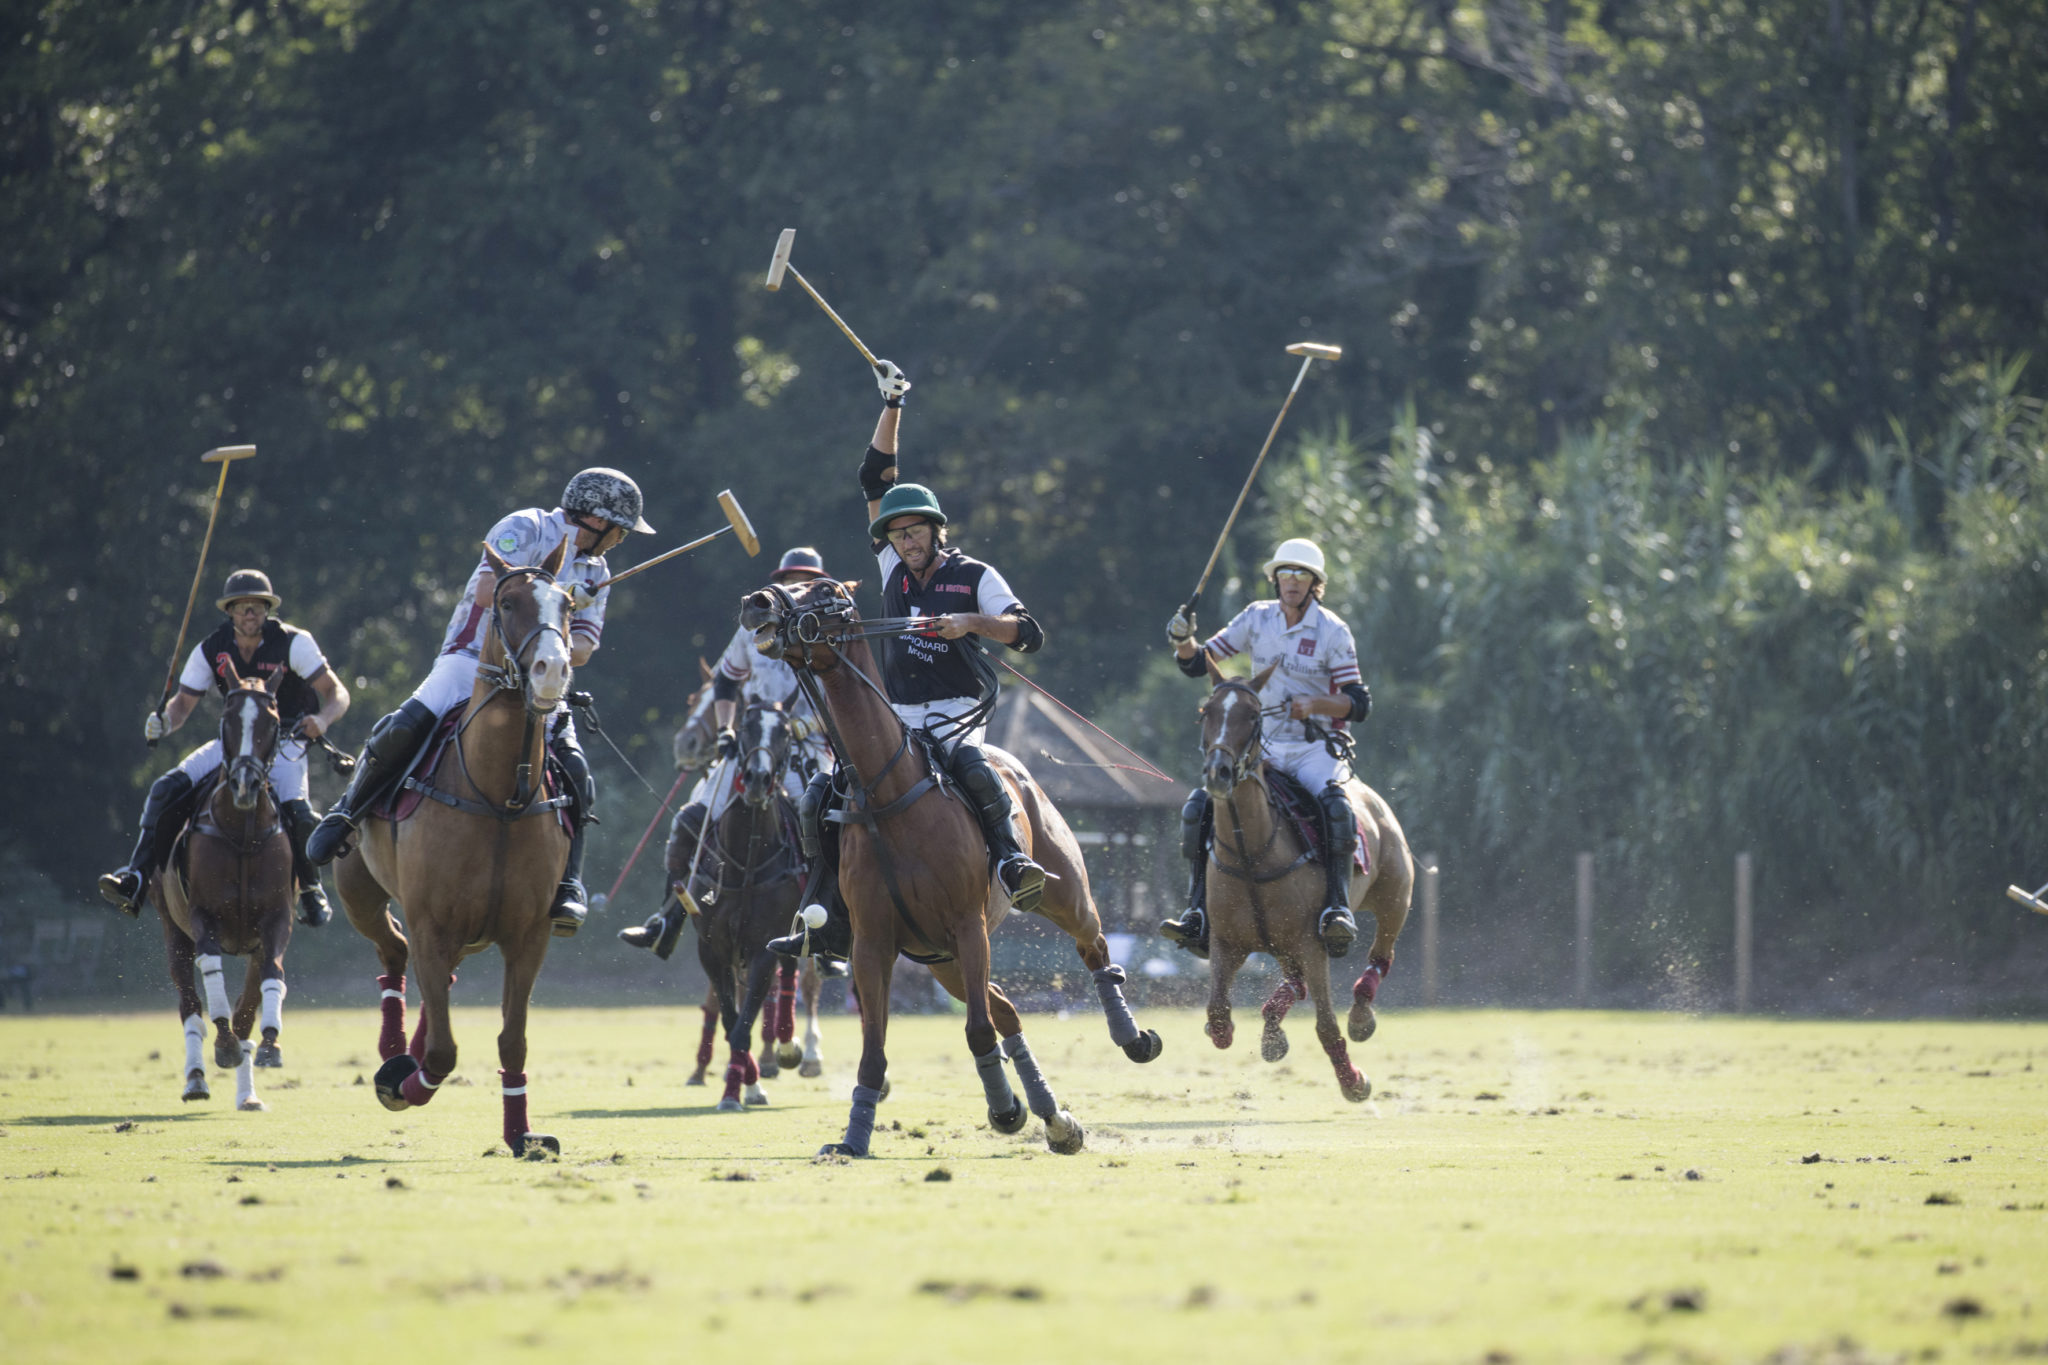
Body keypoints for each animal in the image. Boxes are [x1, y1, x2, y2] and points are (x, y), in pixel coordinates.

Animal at [151, 678, 295, 1113]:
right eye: (227, 719)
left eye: (273, 720)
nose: (245, 785)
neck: (243, 832)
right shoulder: (204, 918)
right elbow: (211, 971)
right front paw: (224, 1045)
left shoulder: (275, 922)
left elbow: (269, 981)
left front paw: (269, 1044)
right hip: (172, 928)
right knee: (189, 1006)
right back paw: (196, 1079)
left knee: (246, 1008)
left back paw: (247, 1094)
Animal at [332, 539, 577, 1157]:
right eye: (507, 602)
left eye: (567, 604)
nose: (552, 671)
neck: (497, 797)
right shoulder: (431, 922)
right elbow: (444, 1052)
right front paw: (400, 1082)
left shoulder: (529, 936)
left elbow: (512, 1041)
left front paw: (520, 1135)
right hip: (360, 894)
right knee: (395, 954)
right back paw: (394, 1051)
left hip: (464, 933)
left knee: (435, 978)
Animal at [739, 576, 1162, 1159]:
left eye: (824, 590)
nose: (757, 602)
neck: (885, 794)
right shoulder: (873, 941)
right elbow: (876, 1048)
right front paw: (853, 1138)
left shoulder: (968, 924)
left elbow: (977, 1031)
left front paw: (1006, 1110)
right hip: (939, 958)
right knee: (1006, 1007)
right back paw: (1057, 1120)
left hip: (1058, 896)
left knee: (1092, 947)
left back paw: (1131, 1039)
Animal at [1194, 662, 1414, 1102]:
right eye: (1207, 711)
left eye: (1253, 716)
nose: (1218, 773)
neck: (1250, 853)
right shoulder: (1225, 942)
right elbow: (1219, 1017)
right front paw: (1258, 1034)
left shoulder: (1311, 944)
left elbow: (1326, 1026)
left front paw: (1353, 1081)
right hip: (1282, 943)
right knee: (1294, 982)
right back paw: (1273, 1028)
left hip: (1395, 895)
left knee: (1381, 955)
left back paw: (1361, 1015)